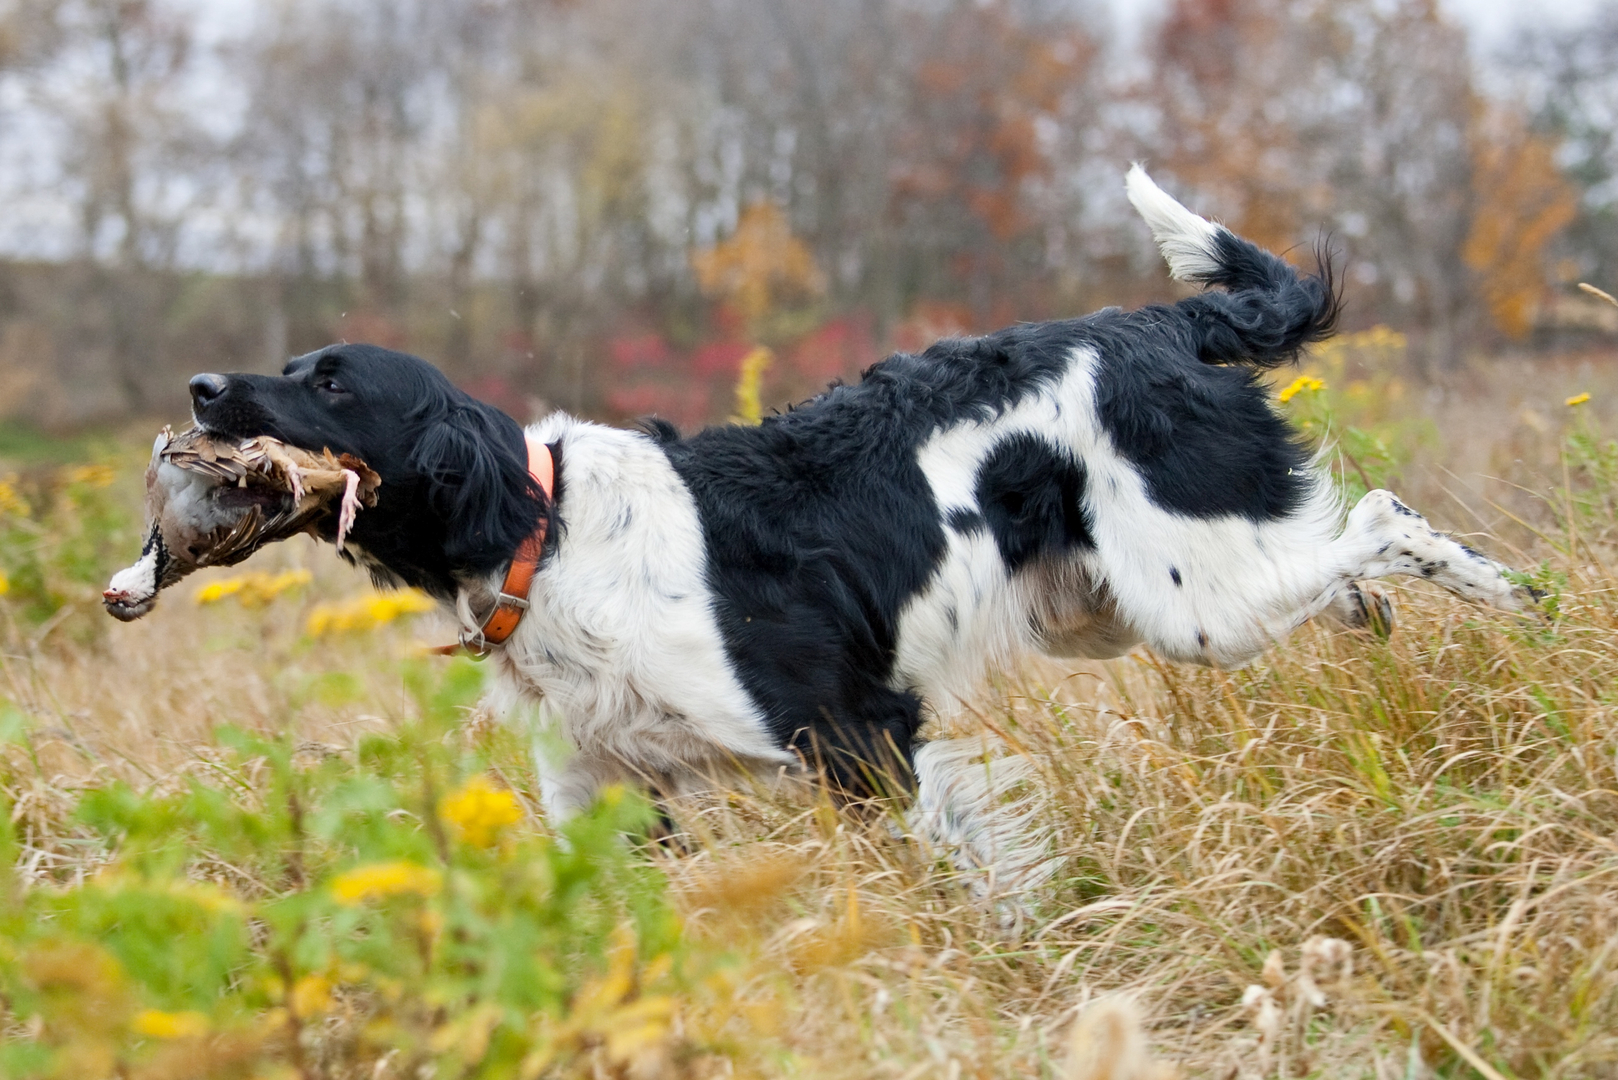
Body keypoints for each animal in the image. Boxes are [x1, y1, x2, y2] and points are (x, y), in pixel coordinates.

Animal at [189, 166, 1527, 887]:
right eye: (293, 368)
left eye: (331, 384)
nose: (201, 389)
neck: (547, 531)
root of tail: (1157, 324)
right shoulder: (602, 794)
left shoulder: (857, 734)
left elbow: (948, 872)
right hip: (1109, 607)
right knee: (1342, 562)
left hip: (1190, 601)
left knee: (1386, 517)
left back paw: (1513, 597)